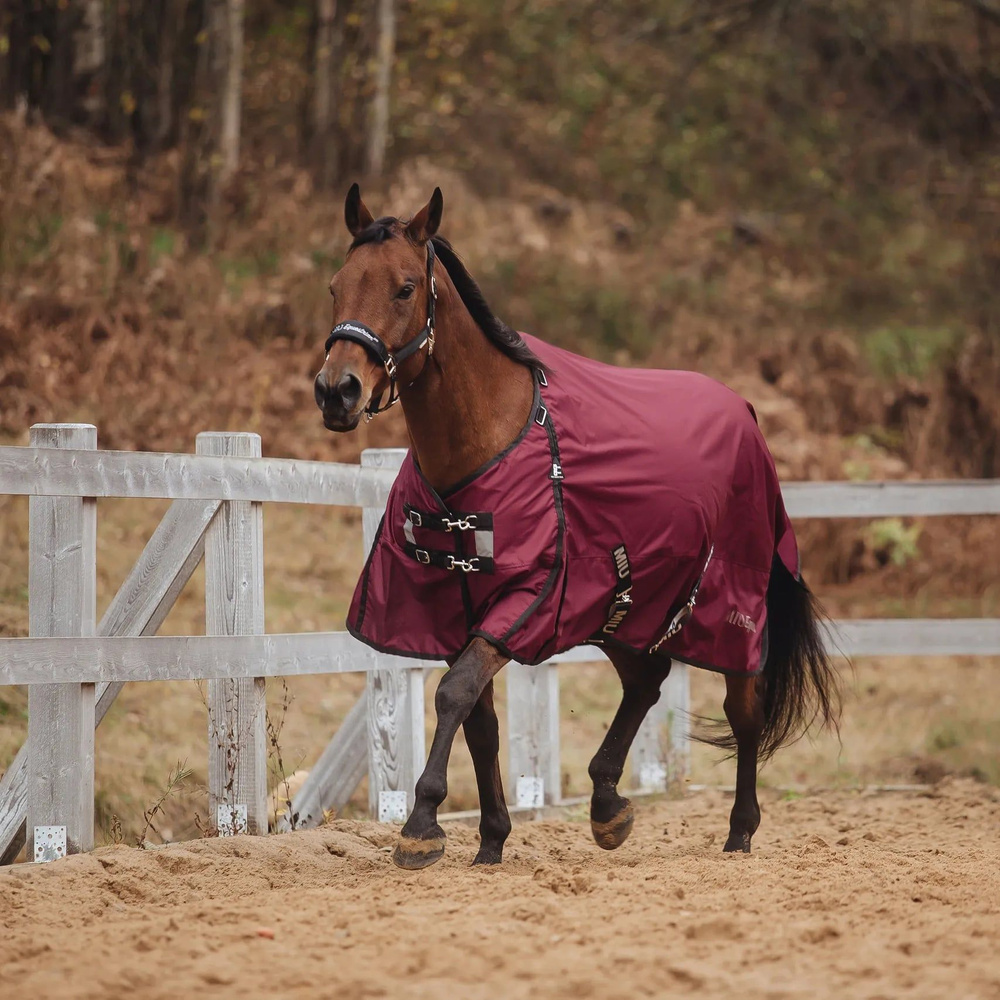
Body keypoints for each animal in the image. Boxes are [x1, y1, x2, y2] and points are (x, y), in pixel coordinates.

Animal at [316, 186, 840, 868]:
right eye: (336, 286)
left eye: (405, 288)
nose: (336, 391)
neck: (488, 441)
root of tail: (745, 412)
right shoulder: (461, 610)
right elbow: (480, 722)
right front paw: (490, 840)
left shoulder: (521, 602)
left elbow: (454, 693)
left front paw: (422, 824)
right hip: (626, 606)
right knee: (645, 682)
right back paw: (607, 806)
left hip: (731, 610)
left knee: (743, 711)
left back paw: (739, 832)